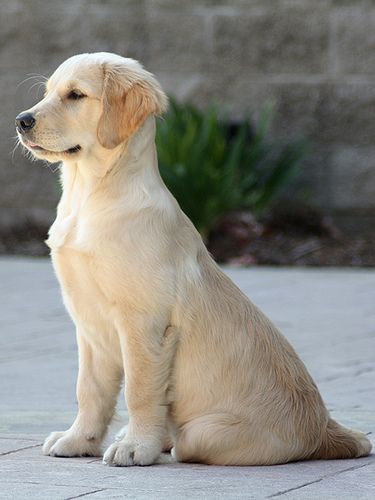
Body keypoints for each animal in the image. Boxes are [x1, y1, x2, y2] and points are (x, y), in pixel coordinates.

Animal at [15, 52, 374, 466]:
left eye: (75, 95)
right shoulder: (88, 324)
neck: (90, 194)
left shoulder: (144, 324)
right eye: (47, 93)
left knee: (185, 441)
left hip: (203, 433)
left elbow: (138, 390)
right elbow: (89, 390)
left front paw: (136, 447)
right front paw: (78, 440)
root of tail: (323, 428)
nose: (21, 120)